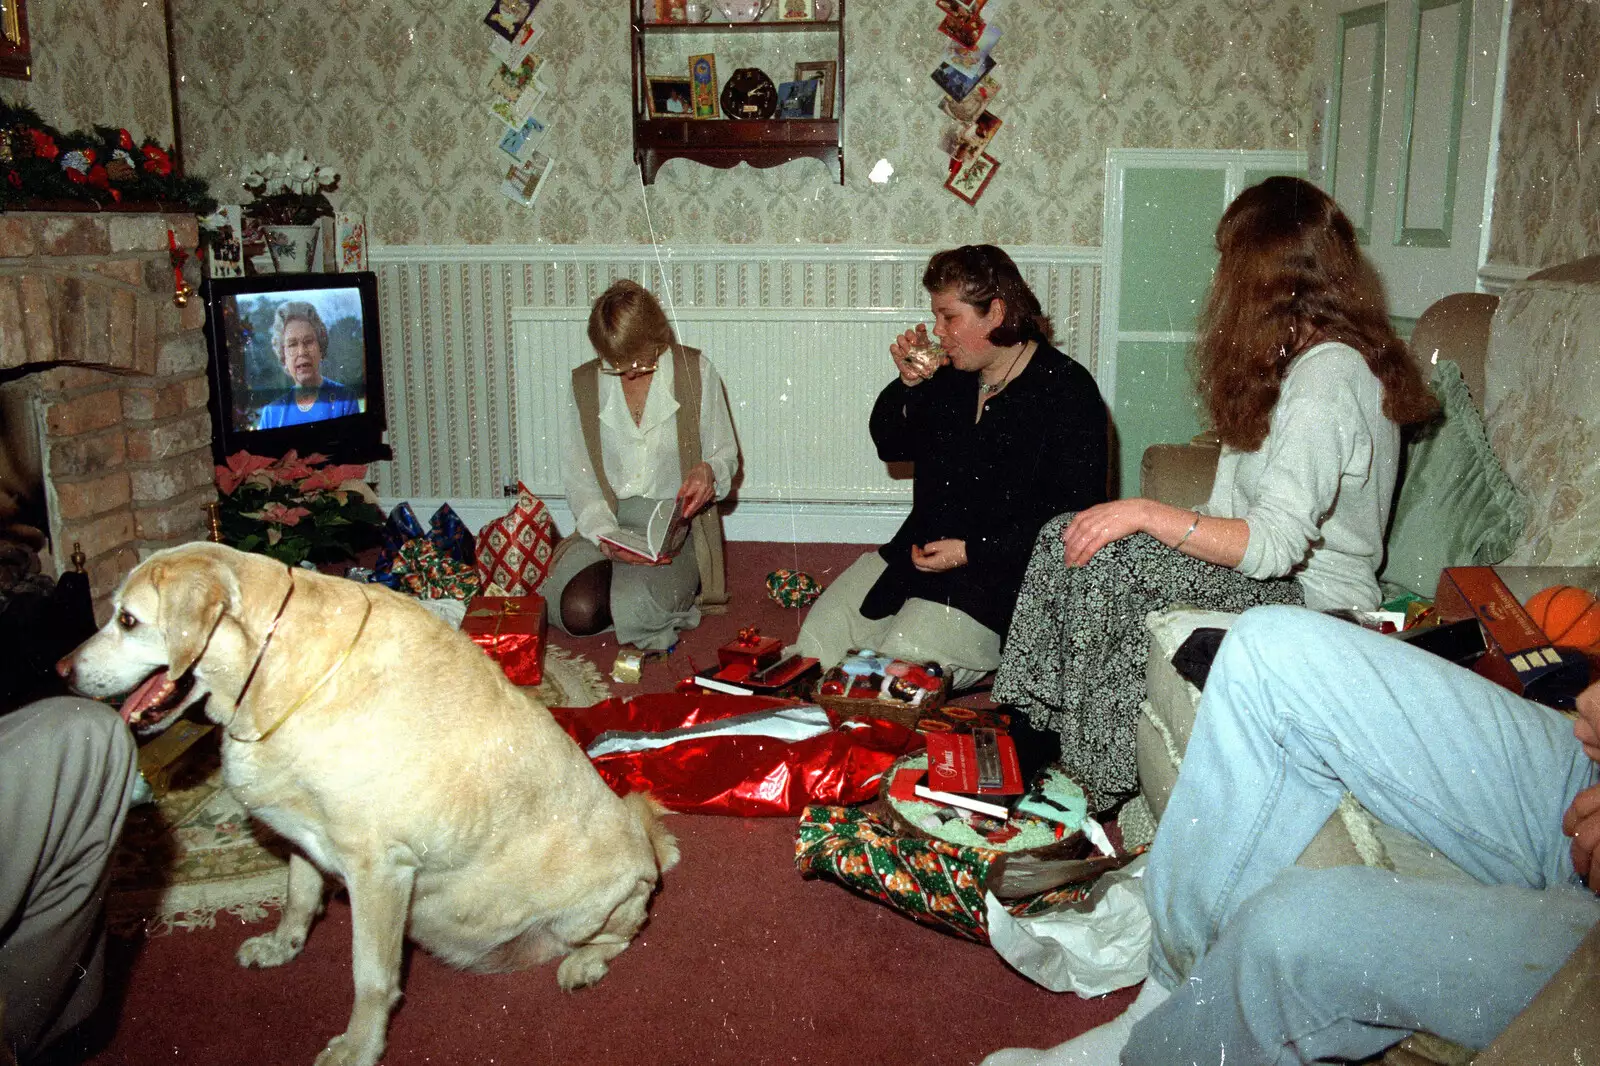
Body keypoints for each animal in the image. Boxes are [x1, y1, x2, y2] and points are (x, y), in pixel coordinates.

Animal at [59, 541, 675, 1062]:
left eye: (127, 620)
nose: (60, 670)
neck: (273, 677)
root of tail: (646, 849)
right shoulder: (303, 837)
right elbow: (298, 898)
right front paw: (283, 945)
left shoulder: (379, 871)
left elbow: (371, 979)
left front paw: (359, 1048)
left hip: (591, 910)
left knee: (623, 934)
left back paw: (584, 964)